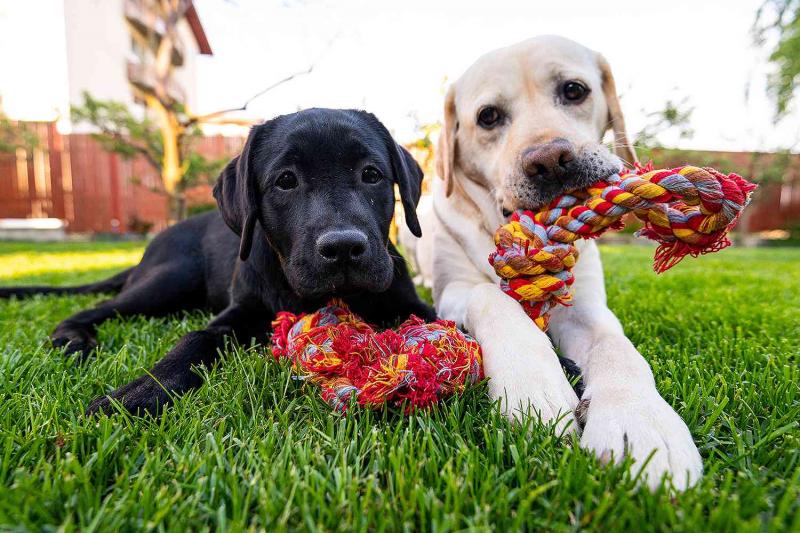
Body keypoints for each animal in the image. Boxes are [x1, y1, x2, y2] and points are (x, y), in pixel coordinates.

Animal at [1, 108, 438, 414]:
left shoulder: (410, 302)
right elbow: (196, 338)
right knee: (97, 307)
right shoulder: (237, 312)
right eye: (285, 181)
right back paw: (73, 338)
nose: (344, 247)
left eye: (372, 174)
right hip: (171, 278)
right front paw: (138, 393)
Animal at [406, 35, 700, 488]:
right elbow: (492, 298)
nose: (549, 160)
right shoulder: (453, 289)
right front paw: (533, 386)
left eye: (574, 90)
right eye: (488, 117)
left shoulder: (586, 309)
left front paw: (642, 422)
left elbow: (617, 348)